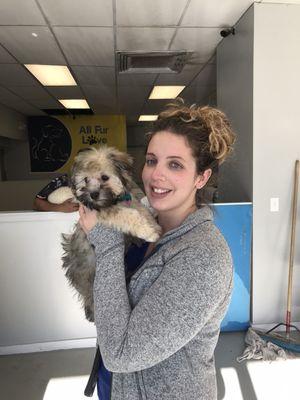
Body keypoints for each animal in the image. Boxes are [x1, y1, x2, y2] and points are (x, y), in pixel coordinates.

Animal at [56, 147, 159, 322]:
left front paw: (154, 226)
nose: (93, 194)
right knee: (89, 295)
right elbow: (129, 215)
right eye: (85, 180)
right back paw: (92, 312)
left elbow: (142, 210)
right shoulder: (104, 212)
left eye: (104, 177)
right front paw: (149, 232)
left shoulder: (131, 201)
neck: (114, 200)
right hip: (89, 275)